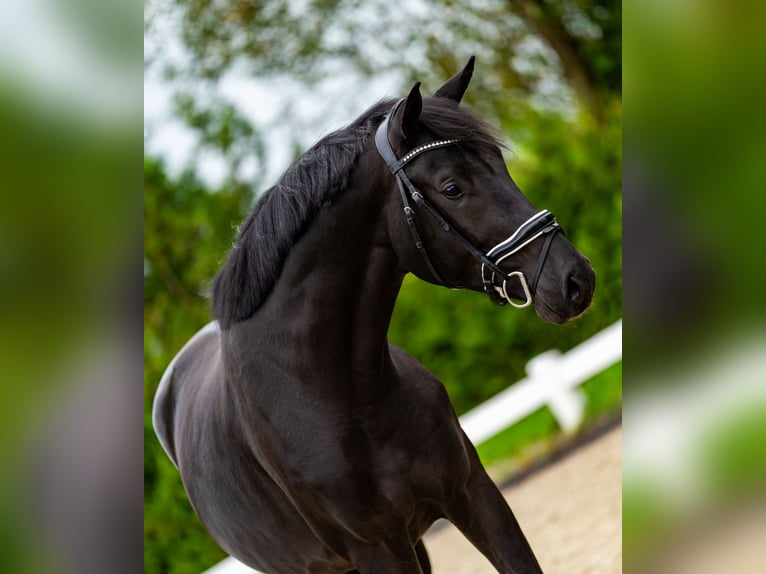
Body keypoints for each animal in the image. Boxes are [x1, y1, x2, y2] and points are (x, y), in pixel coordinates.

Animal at [153, 59, 596, 574]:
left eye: (501, 165)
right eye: (452, 188)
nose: (576, 280)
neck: (346, 396)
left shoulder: (473, 494)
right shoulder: (379, 549)